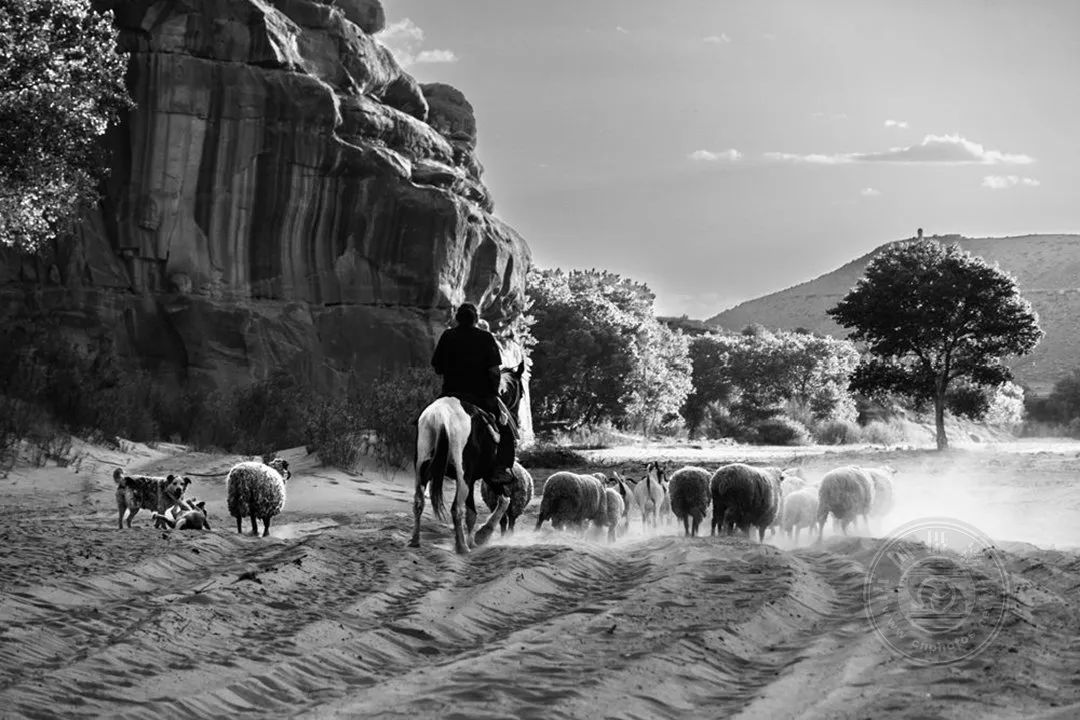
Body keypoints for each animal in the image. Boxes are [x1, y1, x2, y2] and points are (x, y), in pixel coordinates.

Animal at [410, 360, 526, 554]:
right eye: (522, 393)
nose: (516, 420)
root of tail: (441, 416)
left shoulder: (472, 479)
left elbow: (472, 512)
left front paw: (473, 539)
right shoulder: (490, 476)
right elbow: (503, 501)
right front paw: (481, 535)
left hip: (423, 469)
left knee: (419, 502)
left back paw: (415, 540)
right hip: (463, 475)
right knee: (456, 508)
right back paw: (462, 547)